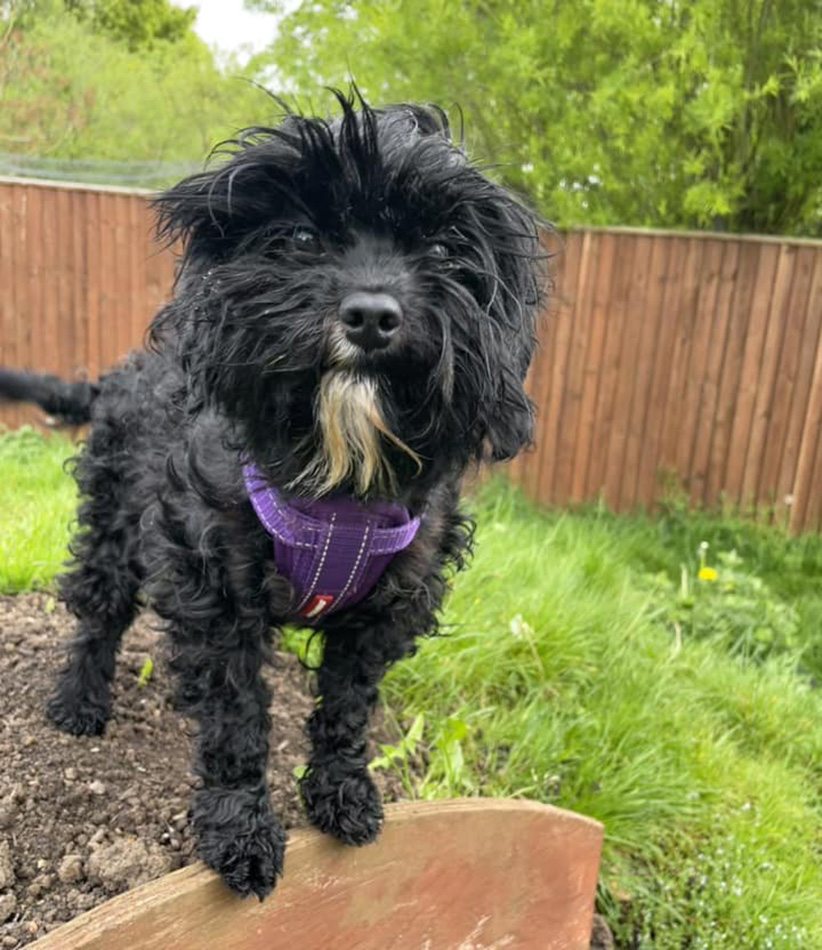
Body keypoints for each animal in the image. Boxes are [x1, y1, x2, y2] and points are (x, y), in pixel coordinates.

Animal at [1, 95, 548, 900]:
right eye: (299, 238)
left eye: (446, 250)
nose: (372, 315)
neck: (339, 481)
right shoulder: (216, 590)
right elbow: (236, 719)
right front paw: (240, 831)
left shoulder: (385, 609)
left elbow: (348, 707)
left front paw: (343, 794)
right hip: (112, 523)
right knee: (98, 616)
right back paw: (79, 703)